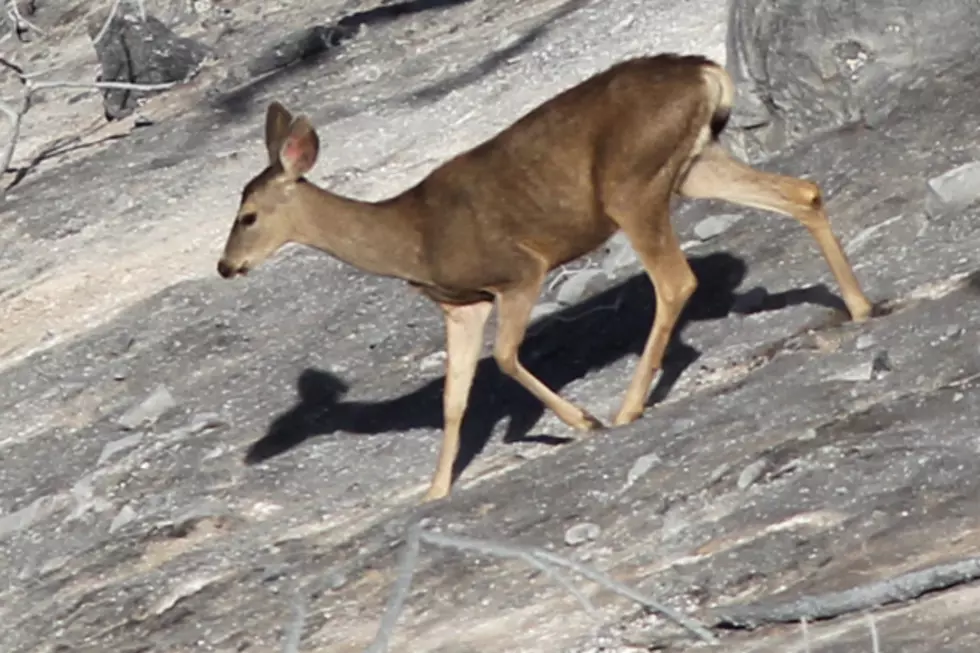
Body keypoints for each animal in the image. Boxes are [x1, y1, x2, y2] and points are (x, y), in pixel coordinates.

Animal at [216, 53, 872, 502]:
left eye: (247, 216)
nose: (225, 267)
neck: (413, 237)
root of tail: (706, 70)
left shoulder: (518, 271)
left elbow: (505, 359)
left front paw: (583, 421)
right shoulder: (461, 304)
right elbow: (454, 399)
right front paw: (435, 490)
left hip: (630, 184)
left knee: (675, 280)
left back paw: (627, 408)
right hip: (692, 164)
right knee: (802, 193)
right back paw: (861, 306)